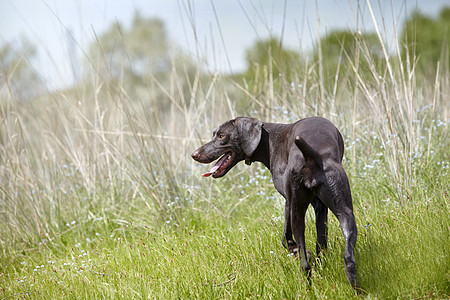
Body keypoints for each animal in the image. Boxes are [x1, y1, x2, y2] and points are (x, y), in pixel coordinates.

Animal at [191, 116, 358, 288]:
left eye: (222, 136)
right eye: (214, 134)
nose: (194, 154)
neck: (269, 141)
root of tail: (312, 156)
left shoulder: (288, 202)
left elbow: (286, 238)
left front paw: (303, 253)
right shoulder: (319, 206)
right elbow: (321, 240)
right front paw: (320, 262)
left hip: (297, 211)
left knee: (304, 263)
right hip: (345, 211)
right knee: (348, 257)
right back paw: (356, 288)